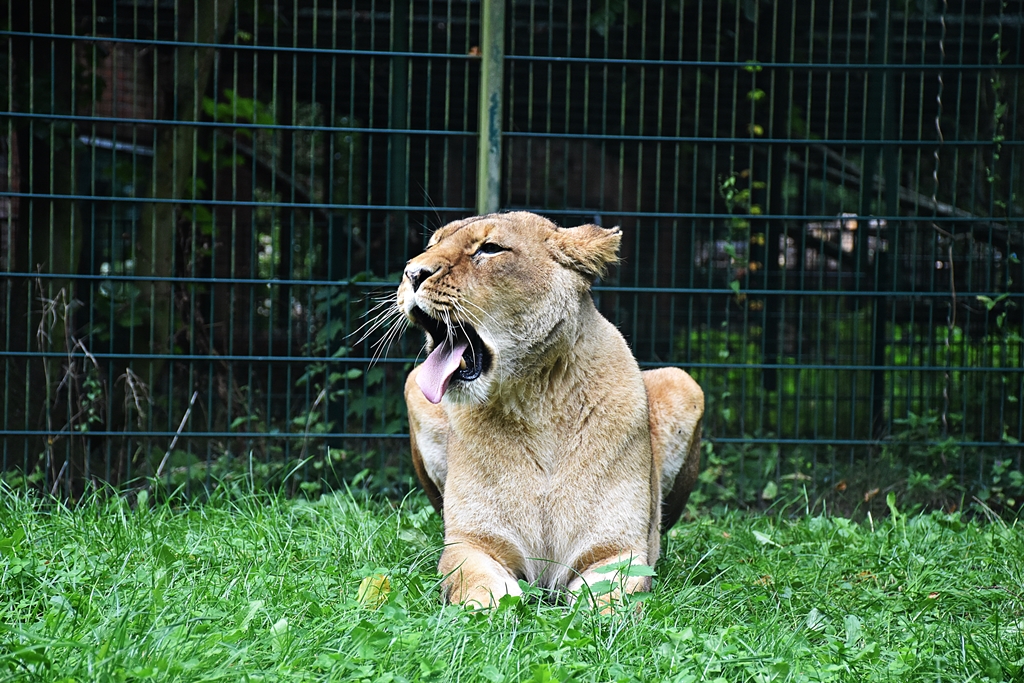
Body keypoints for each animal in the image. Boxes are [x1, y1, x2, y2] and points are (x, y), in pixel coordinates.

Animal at [396, 211, 703, 607]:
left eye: (489, 249)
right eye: (431, 244)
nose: (411, 273)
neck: (537, 402)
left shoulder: (617, 550)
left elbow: (608, 600)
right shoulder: (471, 542)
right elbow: (475, 582)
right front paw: (488, 607)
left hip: (683, 382)